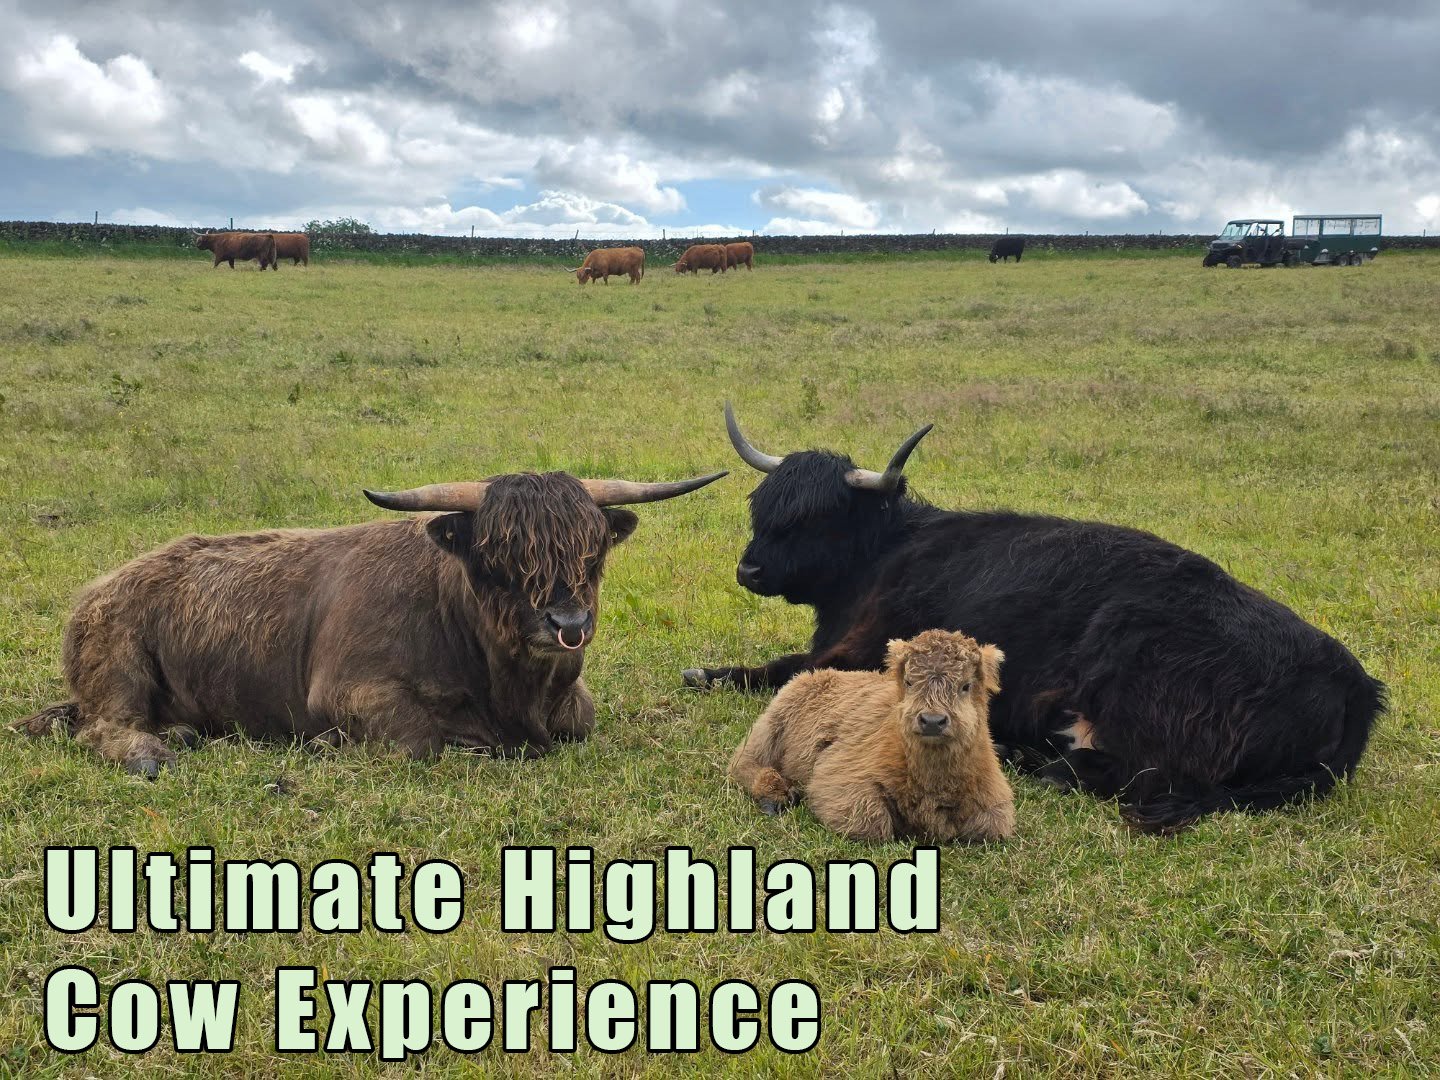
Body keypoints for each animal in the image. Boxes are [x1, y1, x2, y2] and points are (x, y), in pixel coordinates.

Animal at [16, 468, 725, 777]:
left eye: (593, 551)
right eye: (497, 556)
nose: (568, 623)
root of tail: (100, 589)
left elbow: (581, 717)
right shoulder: (349, 693)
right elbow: (420, 740)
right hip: (119, 667)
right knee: (105, 727)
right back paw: (155, 749)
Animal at [682, 404, 1386, 833]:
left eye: (814, 516)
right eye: (763, 505)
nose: (749, 570)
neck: (885, 551)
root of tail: (1354, 683)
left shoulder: (863, 652)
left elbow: (787, 670)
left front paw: (706, 674)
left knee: (1129, 774)